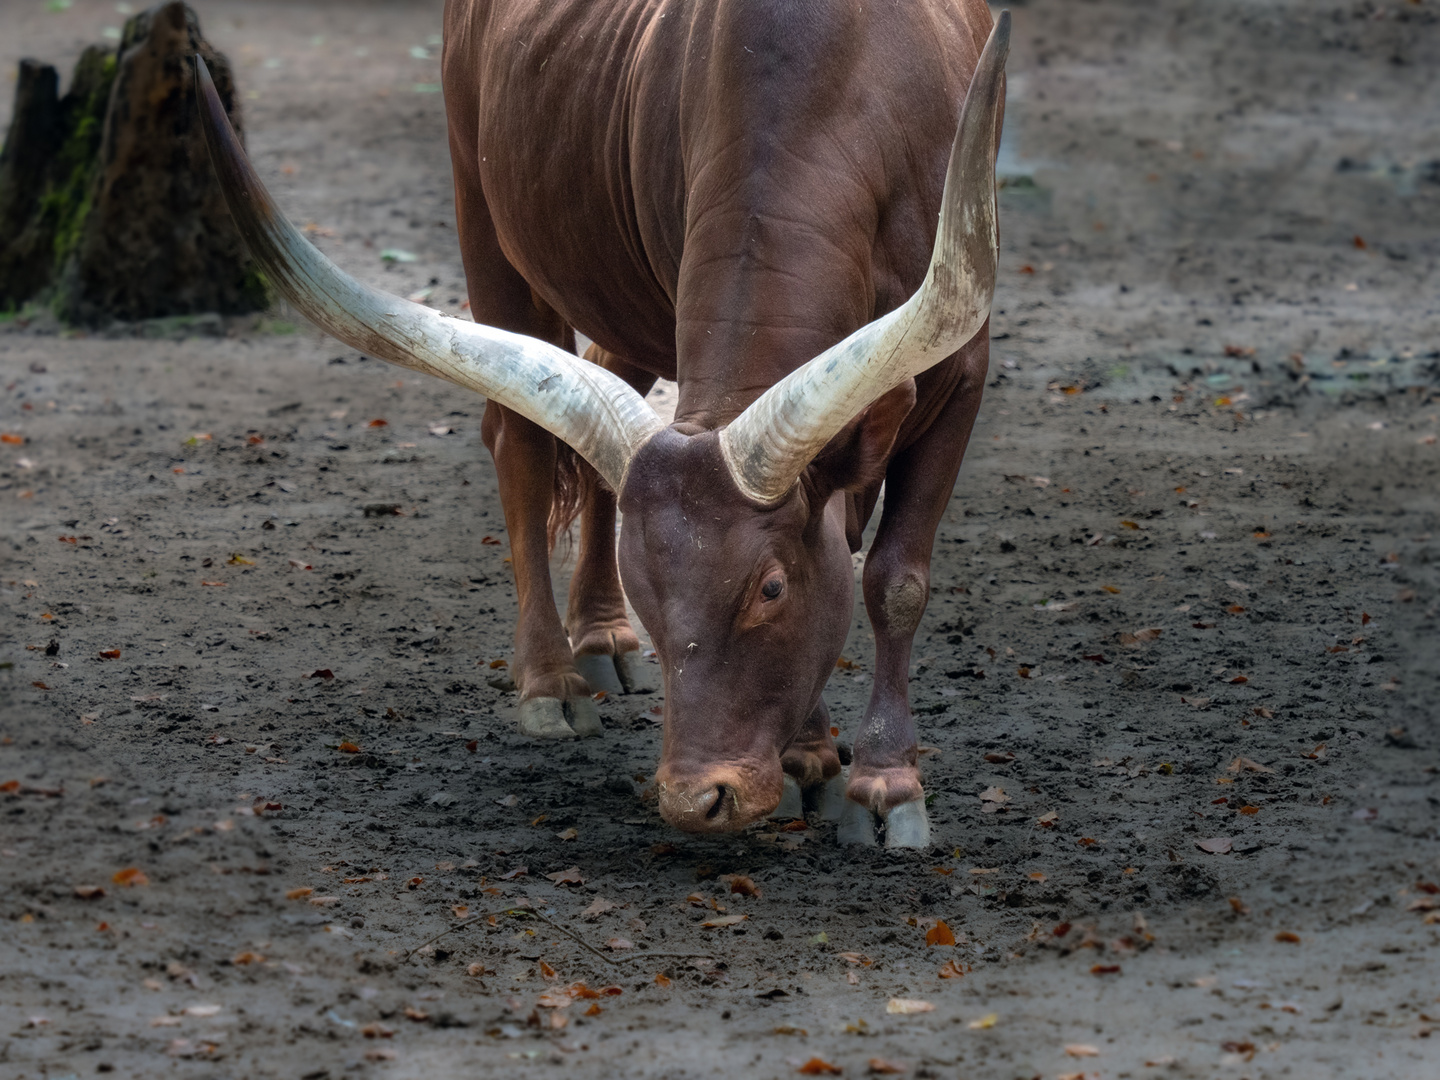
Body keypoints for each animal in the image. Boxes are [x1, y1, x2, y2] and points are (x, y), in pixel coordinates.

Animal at [194, 0, 1013, 852]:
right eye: (647, 588)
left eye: (771, 588)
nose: (697, 797)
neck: (839, 80)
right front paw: (808, 758)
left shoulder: (963, 375)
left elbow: (892, 578)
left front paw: (882, 785)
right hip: (488, 222)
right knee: (520, 443)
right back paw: (551, 678)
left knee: (597, 394)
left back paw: (600, 636)